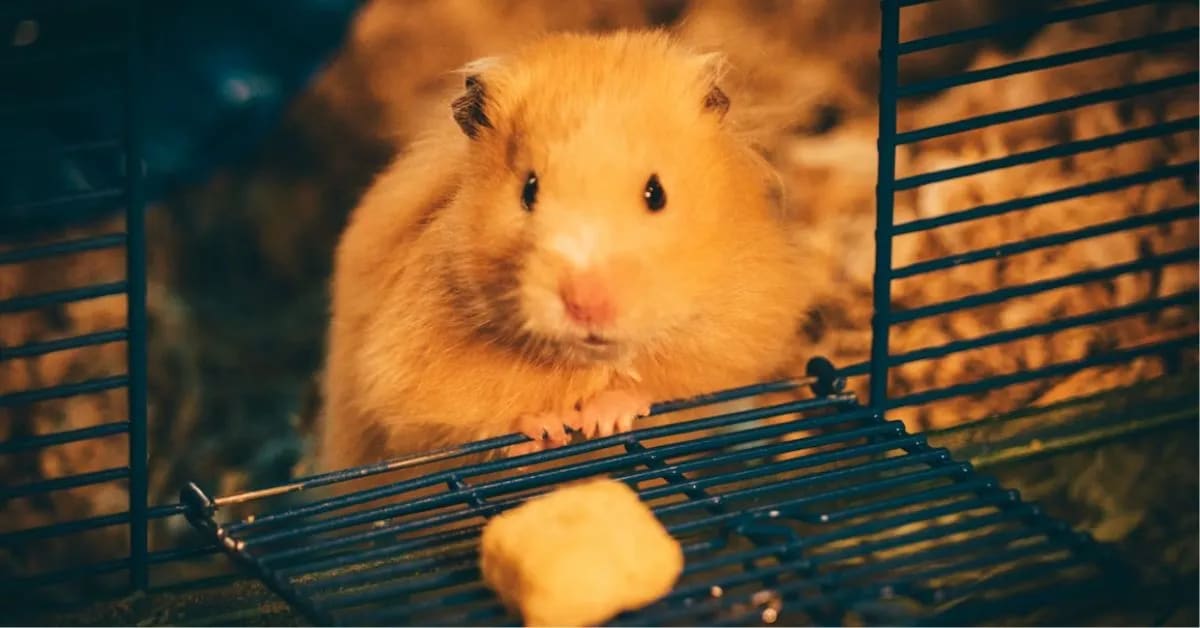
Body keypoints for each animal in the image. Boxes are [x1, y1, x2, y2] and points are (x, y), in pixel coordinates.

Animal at [316, 30, 812, 475]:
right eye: (528, 190)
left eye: (656, 193)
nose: (587, 304)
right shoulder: (404, 374)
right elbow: (468, 414)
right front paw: (550, 427)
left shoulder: (739, 329)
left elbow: (668, 380)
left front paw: (602, 419)